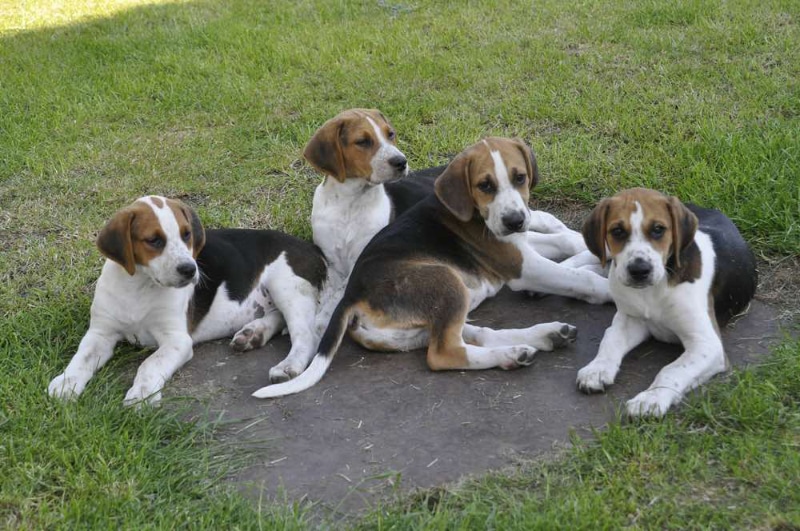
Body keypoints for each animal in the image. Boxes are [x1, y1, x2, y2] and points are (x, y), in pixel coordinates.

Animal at [256, 137, 612, 400]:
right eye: (485, 185)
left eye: (520, 178)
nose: (515, 220)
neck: (473, 211)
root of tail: (351, 297)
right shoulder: (522, 264)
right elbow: (579, 278)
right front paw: (610, 286)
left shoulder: (521, 246)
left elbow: (566, 245)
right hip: (445, 280)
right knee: (444, 353)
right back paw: (512, 354)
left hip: (429, 316)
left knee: (473, 335)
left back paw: (543, 337)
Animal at [576, 189, 756, 418]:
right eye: (617, 231)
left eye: (658, 230)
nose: (639, 270)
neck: (652, 291)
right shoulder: (630, 319)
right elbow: (610, 340)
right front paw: (597, 368)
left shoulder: (707, 345)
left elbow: (671, 370)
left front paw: (650, 399)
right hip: (606, 254)